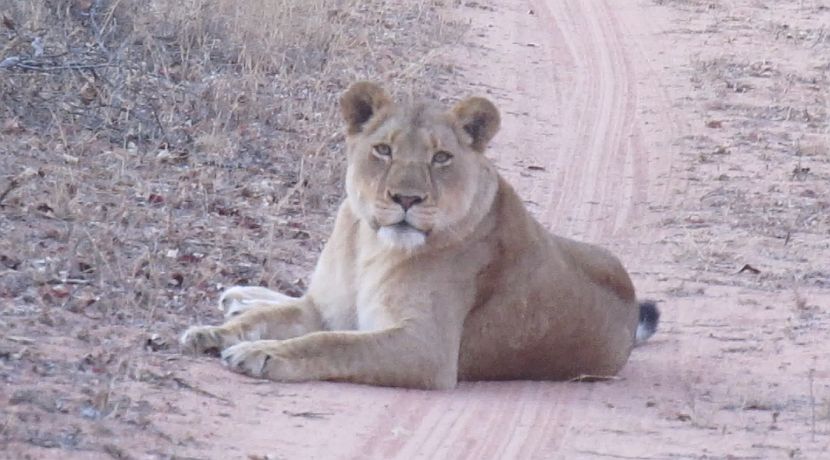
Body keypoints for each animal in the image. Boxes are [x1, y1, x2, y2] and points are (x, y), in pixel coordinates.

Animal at [180, 81, 660, 389]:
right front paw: (213, 333)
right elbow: (270, 321)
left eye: (441, 157)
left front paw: (265, 354)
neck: (370, 246)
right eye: (383, 150)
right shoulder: (326, 308)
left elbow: (330, 343)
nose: (406, 198)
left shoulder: (427, 349)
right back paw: (240, 297)